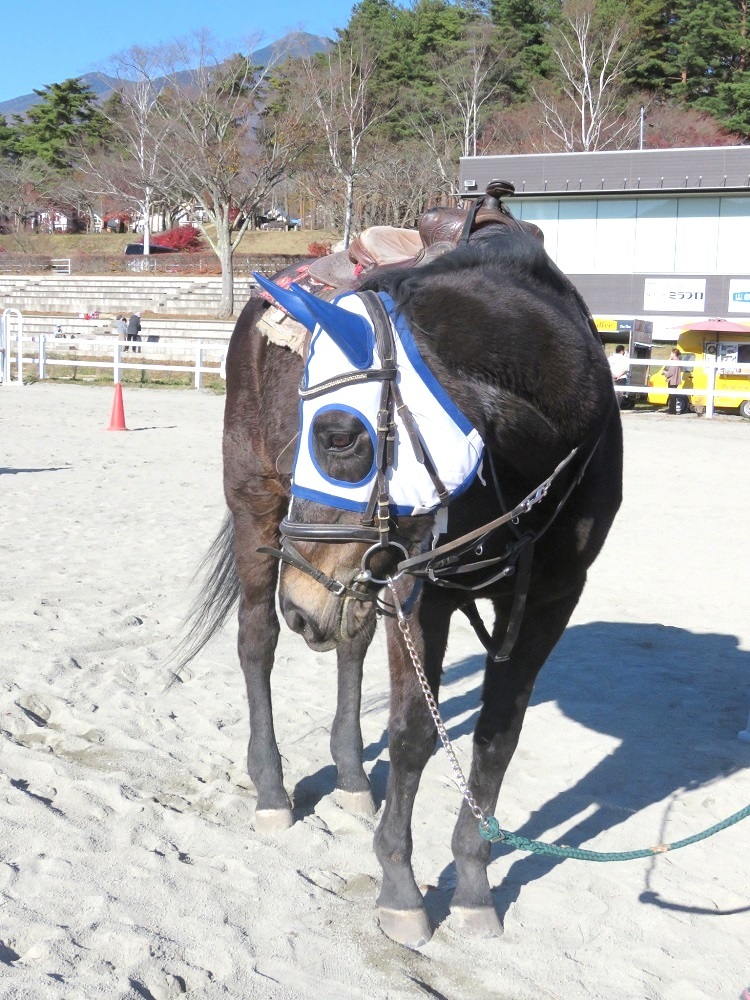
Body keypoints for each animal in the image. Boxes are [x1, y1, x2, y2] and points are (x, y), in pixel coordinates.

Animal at [181, 209, 624, 944]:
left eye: (337, 436)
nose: (301, 602)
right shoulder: (424, 595)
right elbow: (415, 734)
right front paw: (400, 888)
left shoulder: (550, 599)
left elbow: (498, 736)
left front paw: (473, 884)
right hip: (256, 507)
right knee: (256, 643)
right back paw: (272, 788)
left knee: (350, 649)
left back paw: (354, 778)